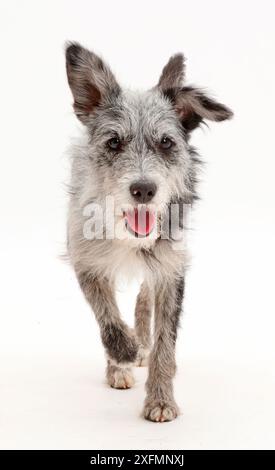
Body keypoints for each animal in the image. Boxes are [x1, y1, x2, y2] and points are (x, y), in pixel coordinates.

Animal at [64, 43, 233, 422]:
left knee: (144, 297)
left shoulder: (171, 269)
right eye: (113, 142)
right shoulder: (85, 260)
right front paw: (122, 353)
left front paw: (160, 399)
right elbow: (107, 315)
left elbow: (164, 343)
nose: (143, 189)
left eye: (167, 143)